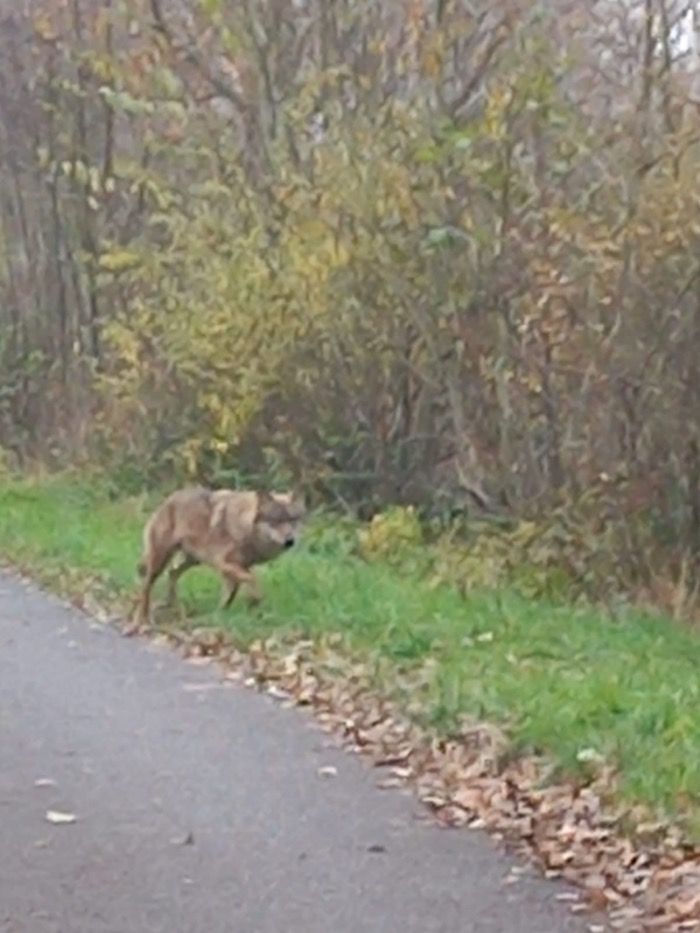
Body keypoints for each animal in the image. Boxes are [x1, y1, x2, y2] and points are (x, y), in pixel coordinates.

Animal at [130, 488, 304, 632]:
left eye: (293, 520)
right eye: (276, 521)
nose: (290, 541)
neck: (245, 530)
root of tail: (167, 501)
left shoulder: (239, 568)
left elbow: (230, 596)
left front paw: (219, 616)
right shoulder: (224, 564)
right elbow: (253, 580)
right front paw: (255, 600)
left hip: (193, 561)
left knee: (172, 573)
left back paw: (172, 606)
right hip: (160, 561)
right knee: (146, 587)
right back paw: (142, 620)